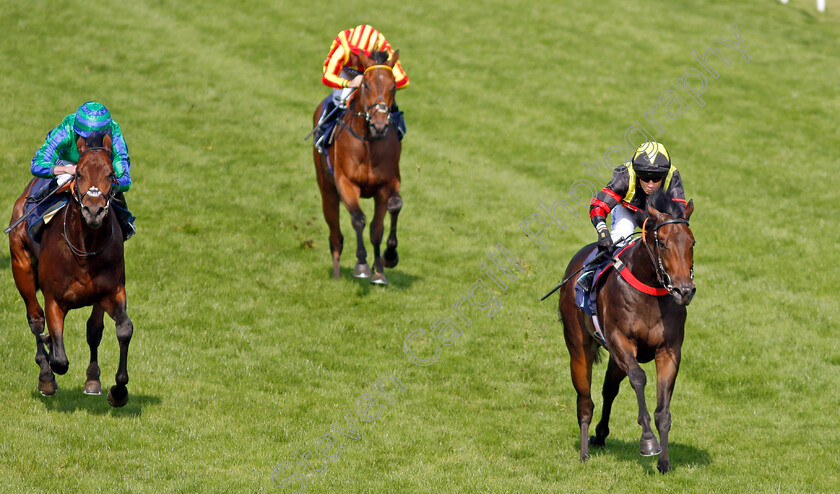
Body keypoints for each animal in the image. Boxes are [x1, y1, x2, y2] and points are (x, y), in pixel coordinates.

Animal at [9, 131, 134, 406]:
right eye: (79, 174)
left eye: (111, 174)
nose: (93, 211)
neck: (85, 248)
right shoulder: (54, 299)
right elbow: (59, 359)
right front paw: (49, 363)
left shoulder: (111, 292)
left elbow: (122, 329)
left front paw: (118, 390)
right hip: (20, 265)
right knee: (35, 320)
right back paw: (45, 376)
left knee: (94, 330)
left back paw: (92, 379)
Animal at [312, 50, 404, 286]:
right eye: (366, 85)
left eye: (393, 86)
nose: (380, 124)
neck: (368, 142)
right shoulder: (346, 182)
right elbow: (358, 219)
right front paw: (361, 265)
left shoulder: (387, 184)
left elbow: (384, 220)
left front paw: (385, 262)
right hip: (327, 190)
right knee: (335, 236)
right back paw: (336, 275)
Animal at [556, 190, 696, 474]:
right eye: (662, 243)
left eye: (692, 243)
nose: (684, 291)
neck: (651, 291)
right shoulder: (621, 342)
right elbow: (639, 378)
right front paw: (648, 441)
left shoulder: (668, 351)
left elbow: (663, 410)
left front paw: (664, 462)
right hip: (578, 348)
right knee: (585, 400)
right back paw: (584, 452)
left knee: (609, 389)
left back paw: (600, 435)